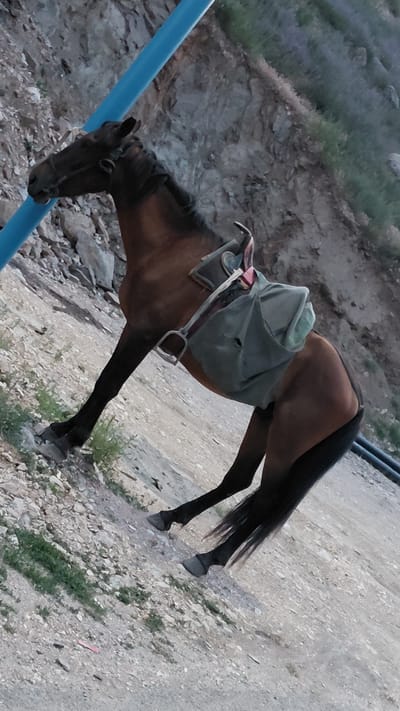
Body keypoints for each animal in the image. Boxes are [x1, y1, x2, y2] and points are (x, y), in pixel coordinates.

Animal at [27, 117, 363, 577]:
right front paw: (60, 428)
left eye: (89, 146)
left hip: (286, 445)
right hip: (264, 418)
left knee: (264, 501)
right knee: (238, 480)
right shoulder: (136, 331)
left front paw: (67, 439)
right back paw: (170, 516)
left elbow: (107, 384)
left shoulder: (142, 332)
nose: (35, 179)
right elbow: (105, 384)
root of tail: (352, 394)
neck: (172, 252)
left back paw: (207, 558)